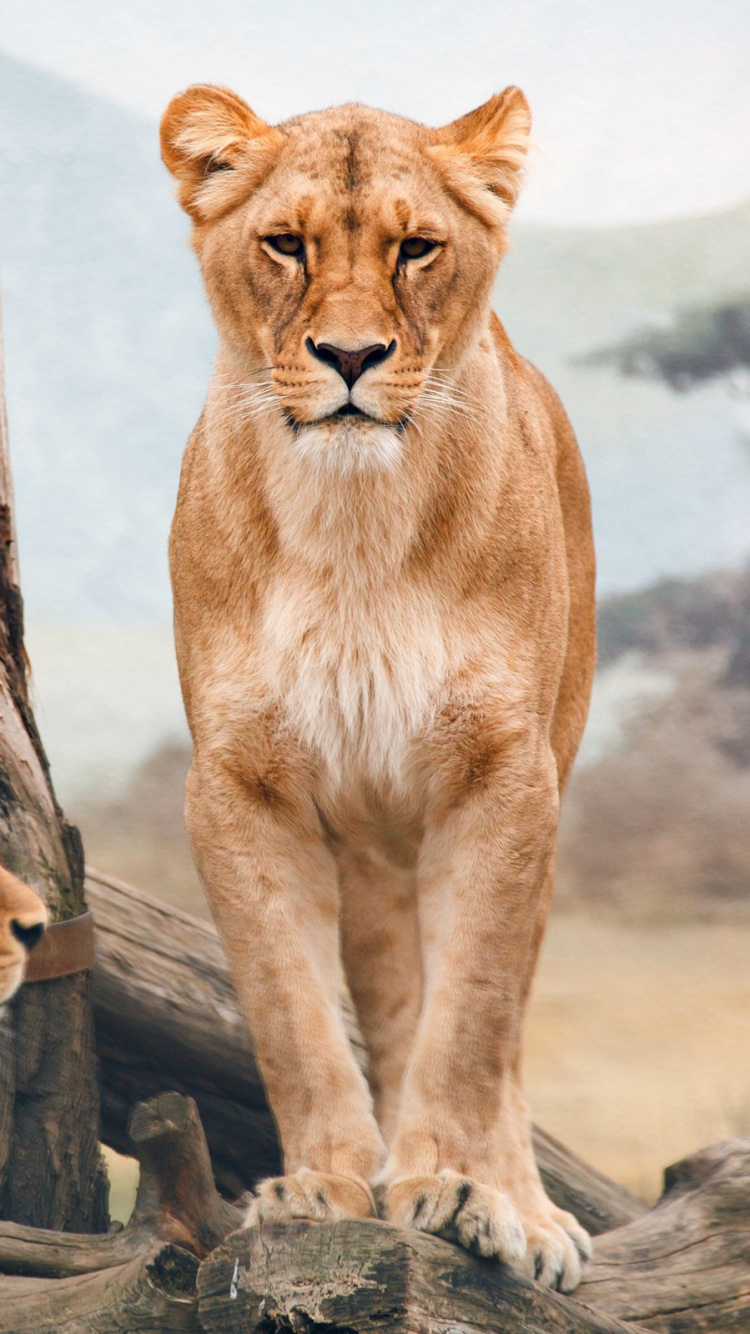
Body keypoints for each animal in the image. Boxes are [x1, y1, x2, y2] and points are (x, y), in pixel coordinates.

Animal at [161, 83, 596, 1291]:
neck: (353, 523)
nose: (350, 355)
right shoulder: (239, 786)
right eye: (285, 243)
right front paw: (322, 1184)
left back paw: (524, 1211)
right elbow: (292, 1013)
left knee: (501, 1028)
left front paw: (454, 1188)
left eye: (416, 248)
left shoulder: (503, 775)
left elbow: (472, 1023)